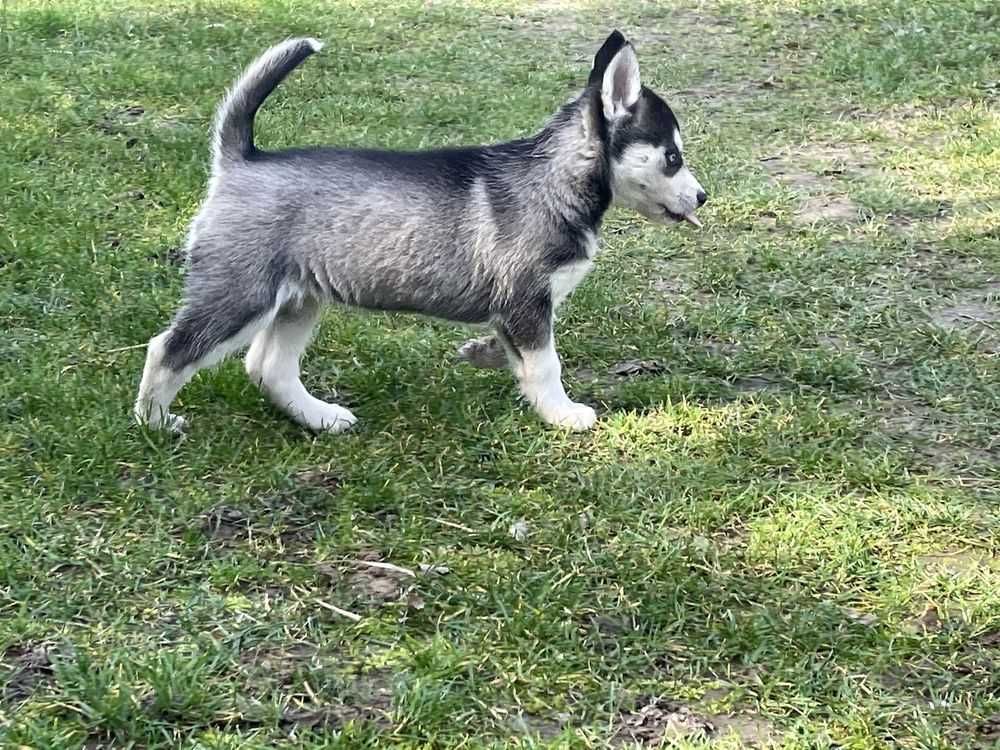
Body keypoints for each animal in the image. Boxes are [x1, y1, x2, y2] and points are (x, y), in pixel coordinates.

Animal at [137, 30, 708, 434]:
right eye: (672, 157)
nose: (703, 197)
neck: (554, 177)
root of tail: (241, 158)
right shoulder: (528, 303)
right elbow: (547, 364)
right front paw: (563, 413)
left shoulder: (521, 310)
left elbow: (523, 356)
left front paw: (489, 361)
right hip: (241, 296)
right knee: (168, 349)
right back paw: (155, 423)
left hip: (299, 299)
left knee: (268, 367)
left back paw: (320, 417)